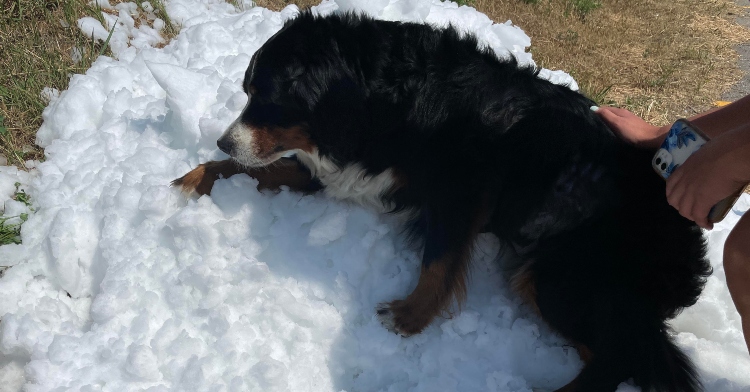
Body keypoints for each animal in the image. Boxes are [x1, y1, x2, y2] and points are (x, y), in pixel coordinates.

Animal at [173, 10, 712, 390]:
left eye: (267, 98)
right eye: (247, 92)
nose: (223, 140)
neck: (384, 99)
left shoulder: (462, 188)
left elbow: (439, 260)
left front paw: (408, 317)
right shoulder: (338, 169)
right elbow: (251, 169)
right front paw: (196, 177)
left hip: (559, 275)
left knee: (616, 361)